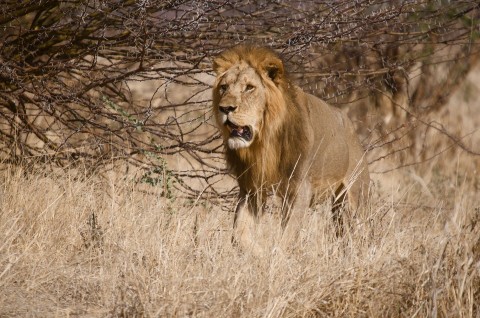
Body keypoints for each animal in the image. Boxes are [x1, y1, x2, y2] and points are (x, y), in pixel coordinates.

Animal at [211, 44, 372, 253]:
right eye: (224, 87)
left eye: (249, 88)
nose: (225, 108)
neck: (265, 141)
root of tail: (349, 123)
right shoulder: (250, 188)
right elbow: (238, 235)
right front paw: (258, 253)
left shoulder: (299, 188)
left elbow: (286, 237)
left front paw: (274, 256)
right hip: (338, 207)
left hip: (355, 196)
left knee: (362, 231)